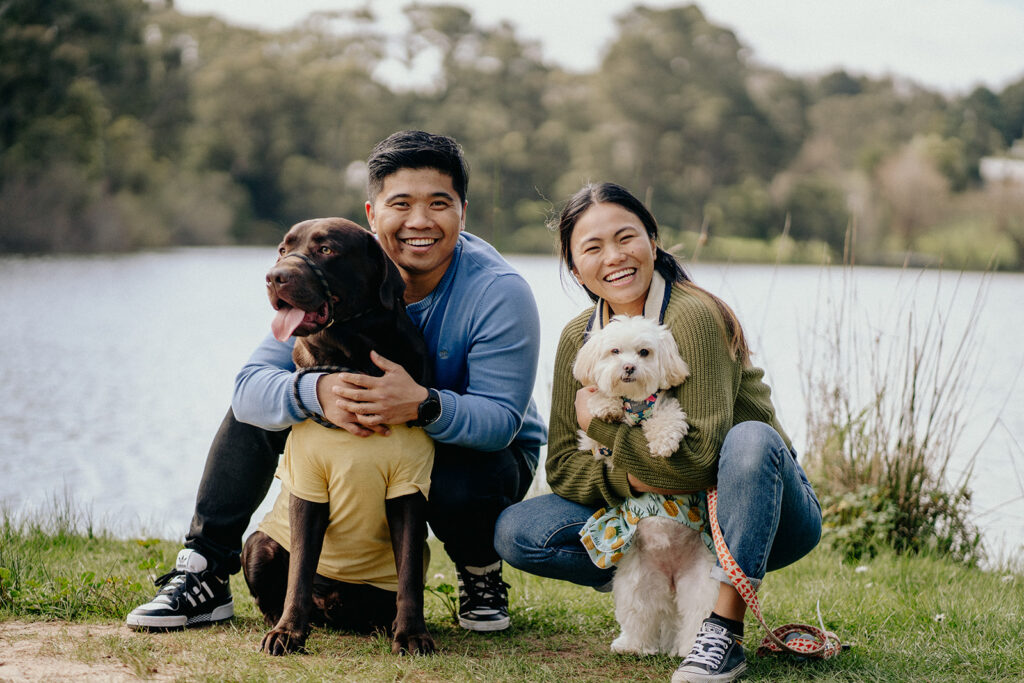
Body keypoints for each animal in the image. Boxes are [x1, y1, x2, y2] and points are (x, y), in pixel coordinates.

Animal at [242, 218, 436, 655]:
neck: (355, 356)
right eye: (283, 250)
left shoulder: (409, 488)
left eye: (326, 250)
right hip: (257, 544)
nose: (274, 277)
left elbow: (408, 577)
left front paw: (412, 634)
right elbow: (299, 570)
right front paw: (288, 633)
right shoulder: (308, 486)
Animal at [577, 315, 720, 655]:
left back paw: (688, 651)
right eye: (615, 351)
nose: (629, 367)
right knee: (640, 612)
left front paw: (663, 443)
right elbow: (599, 434)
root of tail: (671, 578)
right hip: (637, 580)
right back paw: (633, 645)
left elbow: (666, 419)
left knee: (697, 615)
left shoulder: (668, 408)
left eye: (644, 352)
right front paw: (606, 406)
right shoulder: (596, 448)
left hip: (701, 583)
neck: (635, 406)